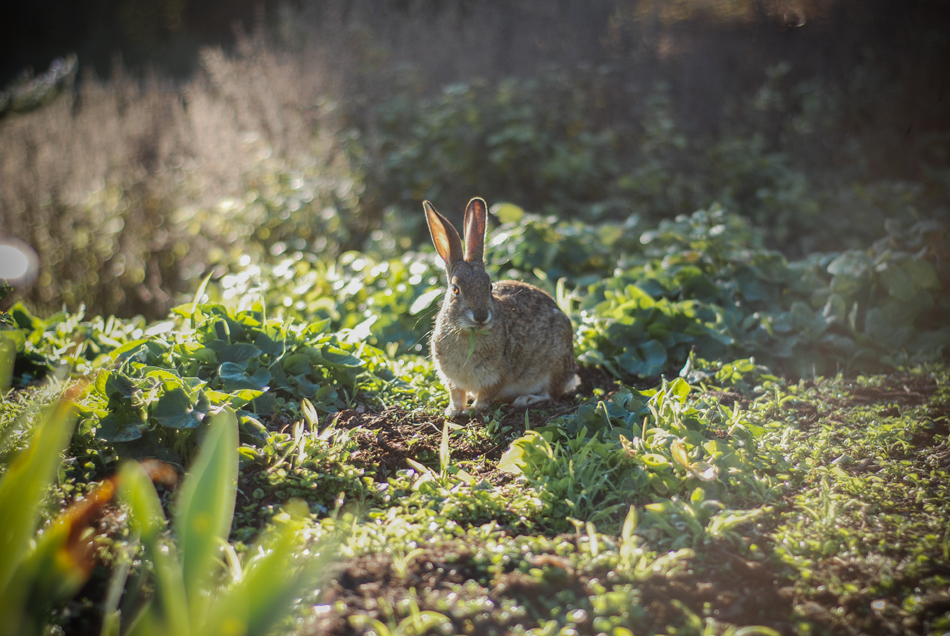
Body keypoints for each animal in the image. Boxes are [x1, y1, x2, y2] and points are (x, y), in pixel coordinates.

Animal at [424, 198, 580, 418]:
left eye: (489, 287)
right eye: (455, 289)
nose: (481, 316)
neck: (468, 333)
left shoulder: (498, 376)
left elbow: (487, 395)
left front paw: (473, 410)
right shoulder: (452, 380)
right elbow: (457, 396)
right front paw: (453, 412)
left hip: (554, 366)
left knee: (552, 395)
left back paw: (526, 399)